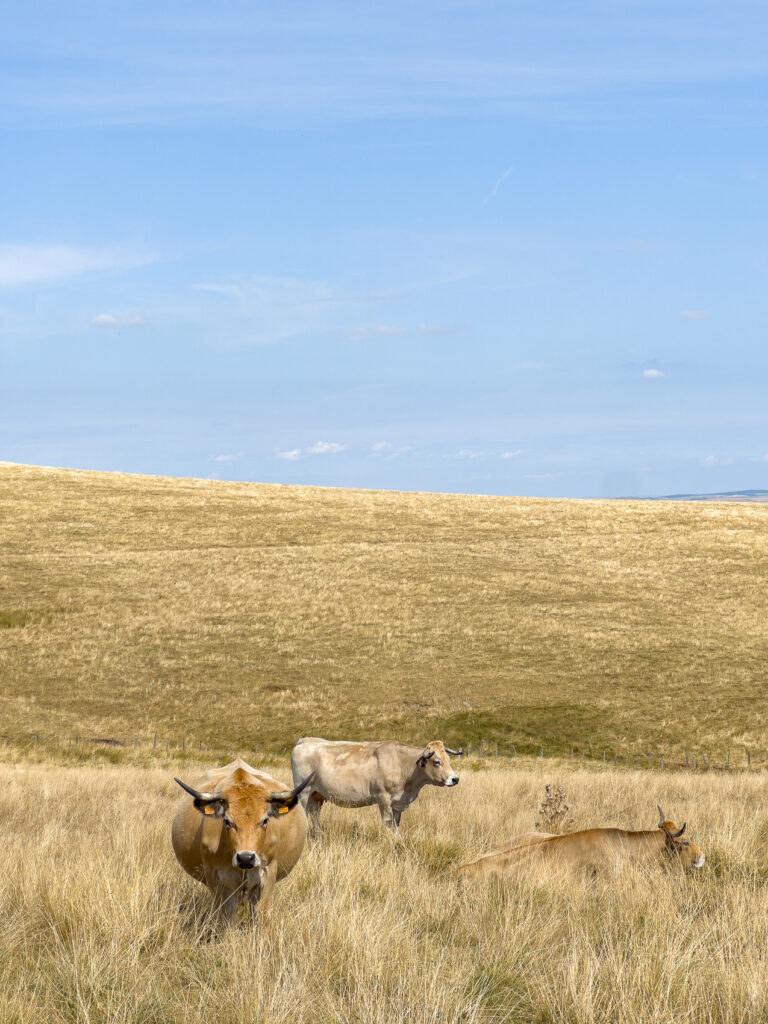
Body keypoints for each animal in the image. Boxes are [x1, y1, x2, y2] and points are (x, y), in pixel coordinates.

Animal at [173, 761, 313, 921]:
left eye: (265, 820)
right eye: (227, 821)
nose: (246, 858)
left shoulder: (267, 875)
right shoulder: (217, 878)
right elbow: (227, 917)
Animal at [290, 737, 462, 831]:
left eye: (448, 759)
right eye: (437, 761)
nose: (455, 779)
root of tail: (306, 741)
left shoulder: (398, 802)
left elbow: (396, 823)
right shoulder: (383, 797)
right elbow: (388, 821)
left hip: (316, 794)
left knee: (315, 814)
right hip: (304, 792)